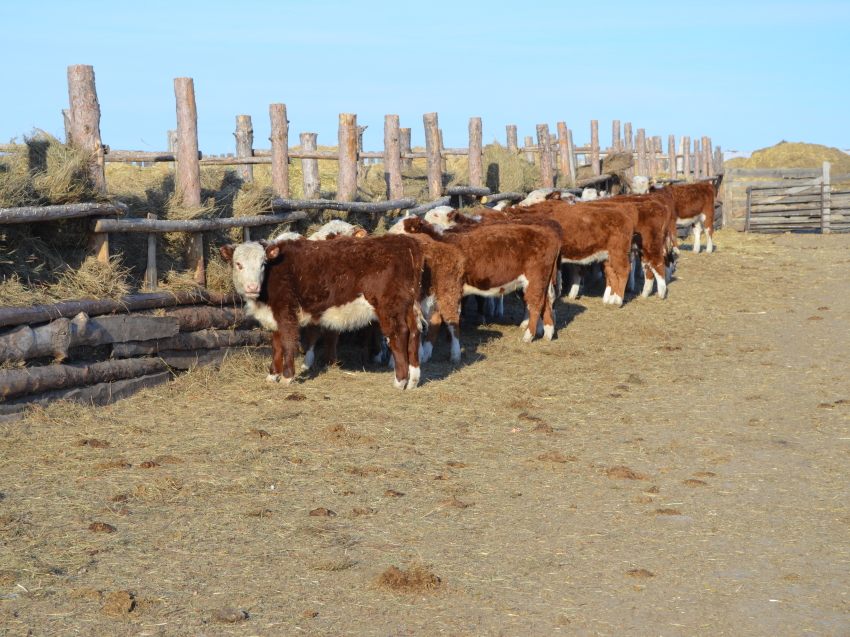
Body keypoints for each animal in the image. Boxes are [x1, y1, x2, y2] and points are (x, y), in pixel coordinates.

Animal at [220, 235, 424, 388]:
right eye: (238, 264)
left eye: (262, 264)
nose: (252, 287)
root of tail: (405, 241)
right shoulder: (274, 315)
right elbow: (276, 345)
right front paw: (272, 375)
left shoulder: (286, 311)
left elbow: (287, 343)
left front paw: (287, 377)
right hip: (408, 306)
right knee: (413, 334)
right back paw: (413, 380)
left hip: (390, 306)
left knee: (399, 335)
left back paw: (400, 380)